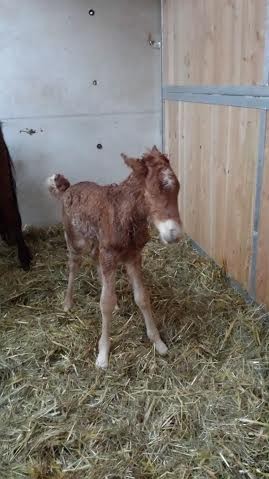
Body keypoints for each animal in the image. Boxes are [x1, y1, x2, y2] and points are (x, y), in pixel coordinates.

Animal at [47, 146, 181, 368]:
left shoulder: (133, 256)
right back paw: (67, 303)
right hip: (75, 240)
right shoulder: (110, 254)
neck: (125, 214)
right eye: (151, 191)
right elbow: (105, 303)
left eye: (178, 188)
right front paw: (103, 354)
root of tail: (67, 188)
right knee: (74, 264)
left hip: (97, 243)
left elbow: (141, 297)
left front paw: (158, 342)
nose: (174, 234)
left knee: (94, 259)